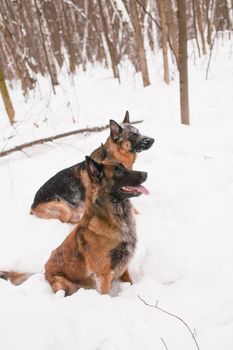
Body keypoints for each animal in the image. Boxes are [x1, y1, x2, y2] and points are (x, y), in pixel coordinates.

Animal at [0, 157, 149, 294]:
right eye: (118, 171)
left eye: (123, 166)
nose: (146, 173)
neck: (116, 218)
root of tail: (43, 271)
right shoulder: (103, 275)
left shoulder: (124, 268)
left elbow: (129, 282)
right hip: (64, 283)